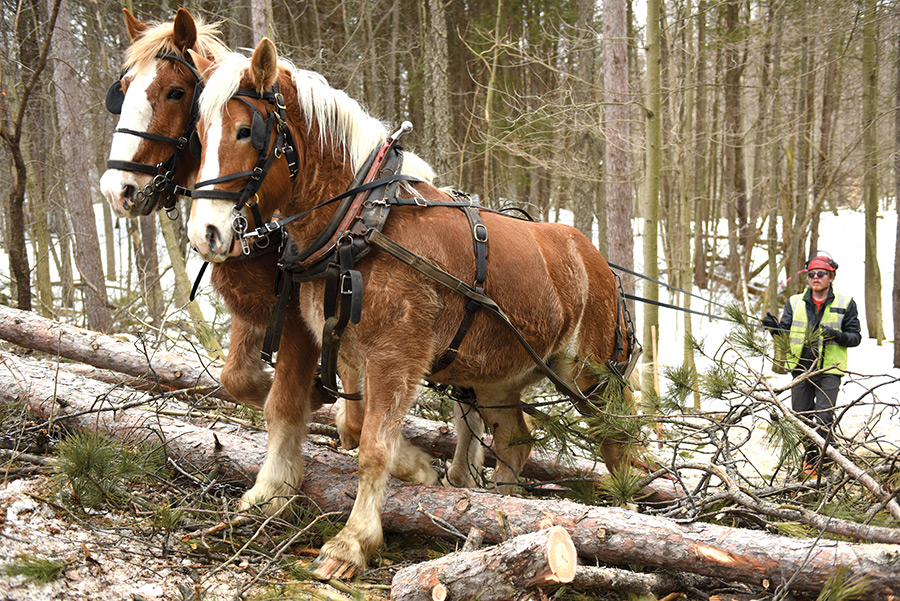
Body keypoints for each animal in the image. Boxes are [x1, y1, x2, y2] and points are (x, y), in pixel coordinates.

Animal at [187, 38, 639, 579]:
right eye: (197, 134)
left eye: (245, 132)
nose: (205, 234)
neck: (362, 220)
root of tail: (598, 262)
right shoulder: (334, 343)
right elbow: (323, 416)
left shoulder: (396, 356)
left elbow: (371, 447)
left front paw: (352, 542)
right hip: (497, 376)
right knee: (516, 439)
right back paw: (507, 516)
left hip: (590, 377)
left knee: (618, 444)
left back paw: (633, 519)